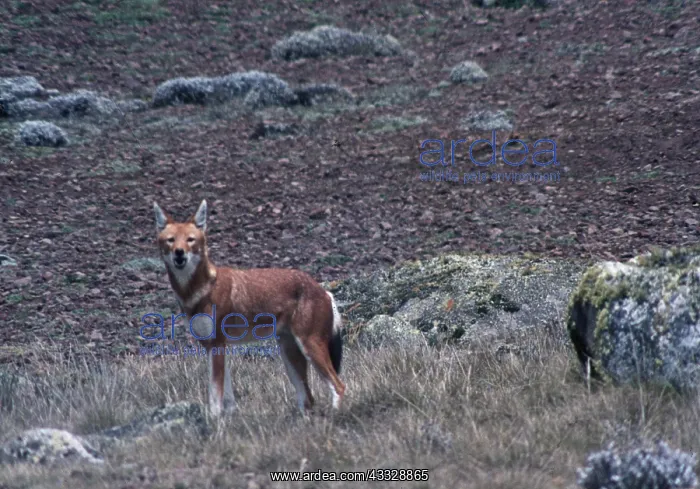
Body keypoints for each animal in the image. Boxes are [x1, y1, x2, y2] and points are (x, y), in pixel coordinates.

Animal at [152, 200, 345, 417]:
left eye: (190, 240)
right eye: (171, 240)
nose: (179, 252)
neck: (200, 290)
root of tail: (323, 290)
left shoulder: (217, 344)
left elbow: (215, 395)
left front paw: (213, 421)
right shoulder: (213, 346)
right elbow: (226, 396)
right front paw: (228, 419)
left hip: (309, 348)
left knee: (338, 386)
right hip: (290, 357)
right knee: (308, 399)